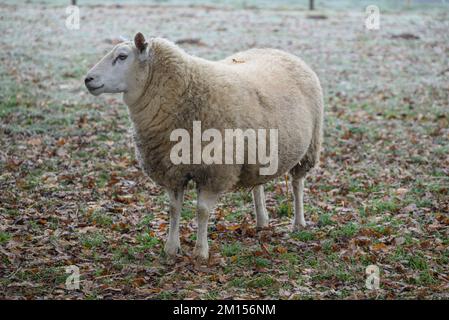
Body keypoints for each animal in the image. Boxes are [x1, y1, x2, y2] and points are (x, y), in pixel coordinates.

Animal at [85, 33, 322, 262]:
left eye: (122, 56)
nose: (88, 79)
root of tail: (281, 52)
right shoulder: (172, 170)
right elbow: (174, 209)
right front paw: (171, 248)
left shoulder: (214, 170)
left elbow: (202, 211)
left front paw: (200, 251)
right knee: (258, 184)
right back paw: (262, 221)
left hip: (310, 145)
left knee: (297, 184)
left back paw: (298, 222)